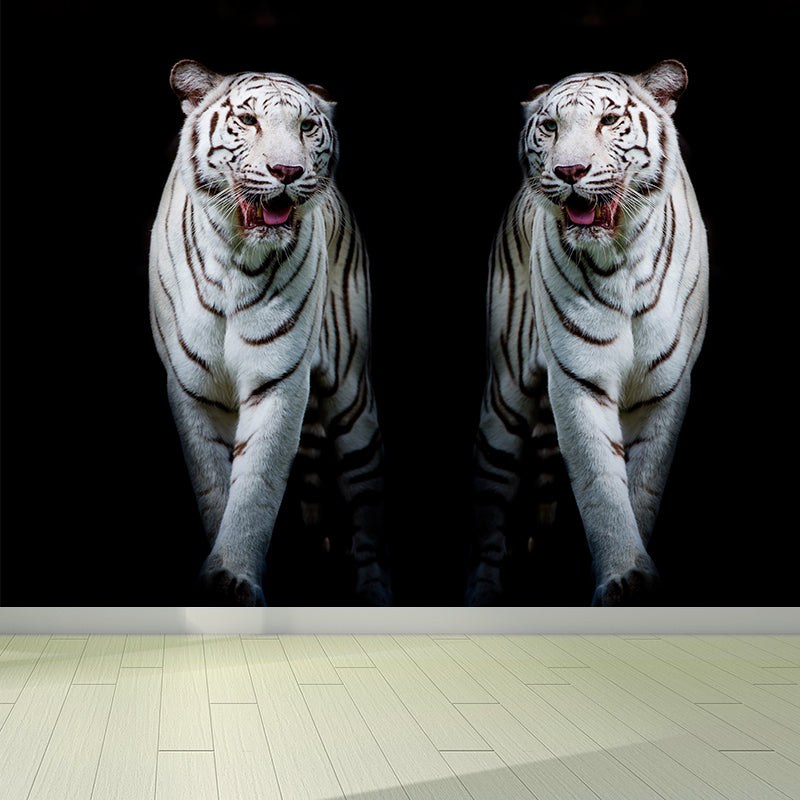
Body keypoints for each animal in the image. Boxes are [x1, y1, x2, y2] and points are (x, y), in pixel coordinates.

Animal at [149, 60, 390, 606]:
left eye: (307, 126)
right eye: (248, 120)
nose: (288, 171)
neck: (234, 260)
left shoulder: (278, 379)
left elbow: (256, 483)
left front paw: (233, 578)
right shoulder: (192, 388)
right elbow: (215, 484)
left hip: (351, 397)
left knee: (367, 503)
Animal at [467, 60, 709, 606]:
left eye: (609, 120)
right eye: (550, 127)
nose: (569, 171)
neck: (623, 260)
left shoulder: (665, 388)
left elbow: (642, 484)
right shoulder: (579, 380)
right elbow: (600, 484)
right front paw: (624, 577)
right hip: (505, 398)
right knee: (490, 504)